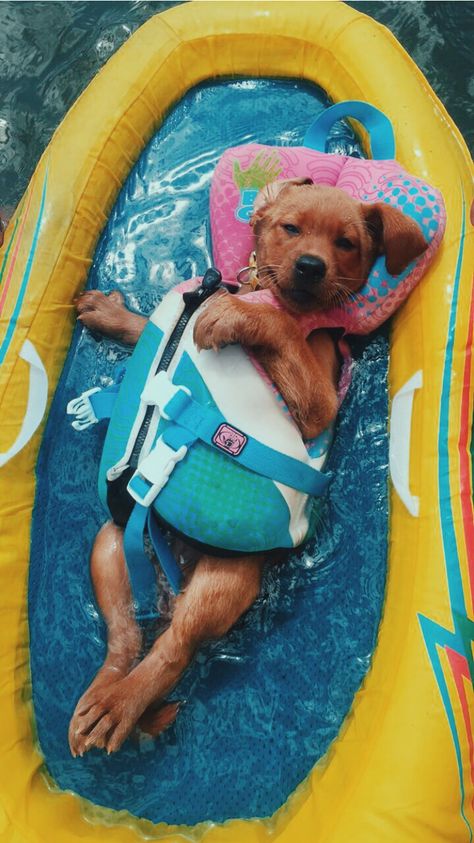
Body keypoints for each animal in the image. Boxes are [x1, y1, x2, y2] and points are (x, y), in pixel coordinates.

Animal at [69, 181, 426, 756]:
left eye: (347, 243)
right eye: (290, 227)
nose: (310, 266)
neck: (263, 291)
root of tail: (177, 568)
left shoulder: (321, 402)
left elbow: (276, 328)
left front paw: (236, 316)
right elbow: (148, 325)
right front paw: (110, 314)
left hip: (226, 582)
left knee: (173, 650)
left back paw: (121, 706)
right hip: (110, 543)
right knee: (124, 640)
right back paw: (101, 701)